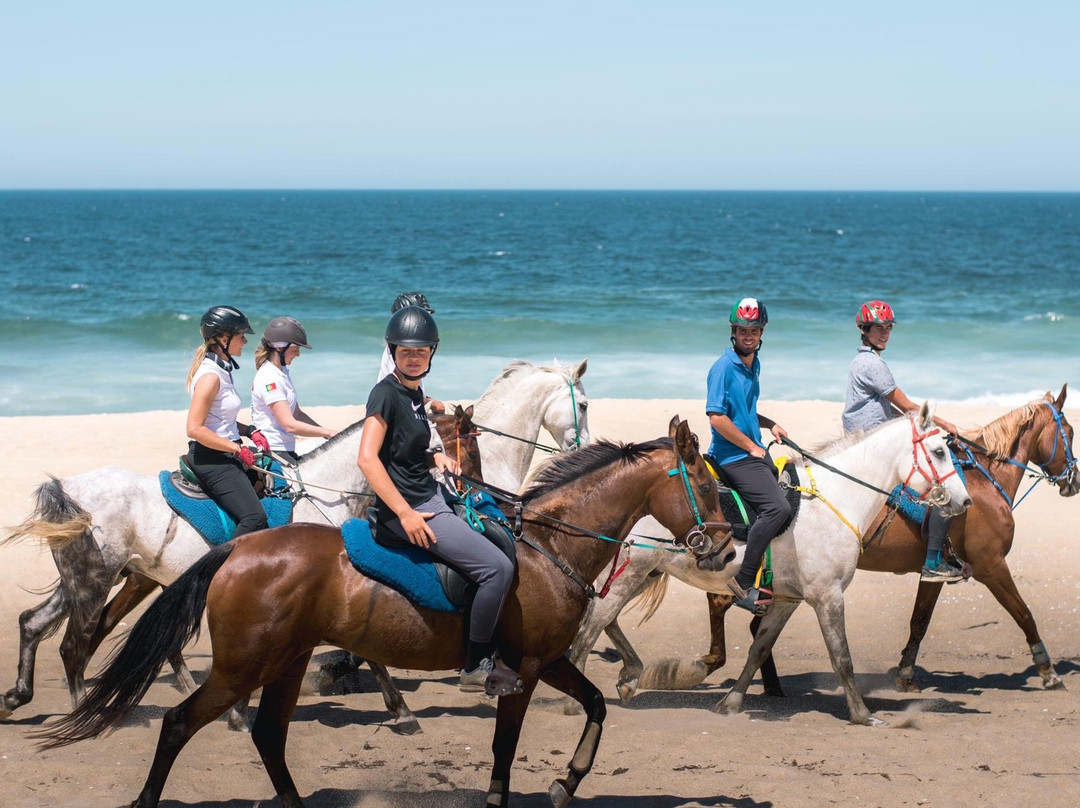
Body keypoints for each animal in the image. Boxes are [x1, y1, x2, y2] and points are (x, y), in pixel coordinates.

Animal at [2, 360, 591, 725]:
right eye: (583, 404)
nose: (478, 492)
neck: (333, 490)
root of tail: (71, 488)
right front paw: (394, 708)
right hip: (98, 579)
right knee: (76, 642)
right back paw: (88, 707)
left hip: (104, 579)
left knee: (42, 625)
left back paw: (21, 697)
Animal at [39, 423, 734, 808]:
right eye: (705, 484)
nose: (727, 551)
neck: (547, 547)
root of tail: (238, 546)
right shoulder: (525, 669)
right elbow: (506, 747)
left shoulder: (548, 660)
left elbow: (595, 706)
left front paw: (567, 783)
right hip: (242, 666)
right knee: (179, 723)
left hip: (284, 662)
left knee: (267, 736)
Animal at [565, 404, 972, 725]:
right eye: (939, 451)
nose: (964, 501)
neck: (834, 499)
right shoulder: (828, 597)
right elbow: (842, 657)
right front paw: (862, 714)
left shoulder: (786, 601)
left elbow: (759, 649)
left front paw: (730, 704)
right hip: (630, 574)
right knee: (592, 625)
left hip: (641, 574)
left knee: (605, 621)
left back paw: (629, 677)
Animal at [704, 384, 1075, 695]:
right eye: (1070, 432)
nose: (1075, 480)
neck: (985, 482)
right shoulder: (991, 566)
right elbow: (1024, 614)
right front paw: (1047, 670)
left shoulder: (935, 573)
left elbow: (919, 622)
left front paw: (906, 674)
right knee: (728, 607)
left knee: (750, 620)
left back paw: (767, 684)